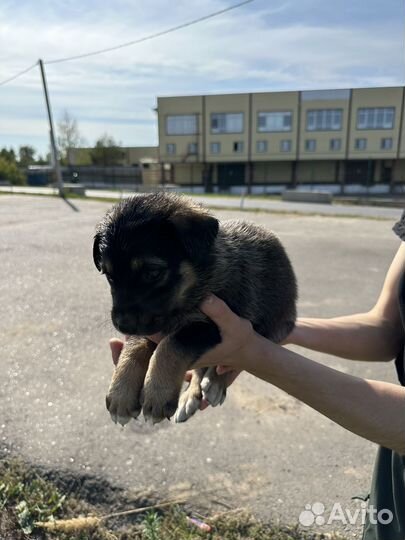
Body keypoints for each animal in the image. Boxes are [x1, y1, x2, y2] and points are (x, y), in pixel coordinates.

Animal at [94, 194, 296, 426]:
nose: (122, 325)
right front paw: (120, 395)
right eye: (109, 276)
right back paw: (189, 397)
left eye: (152, 273)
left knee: (225, 366)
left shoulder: (217, 325)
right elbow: (134, 347)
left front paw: (157, 393)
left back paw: (216, 383)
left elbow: (171, 345)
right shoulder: (152, 327)